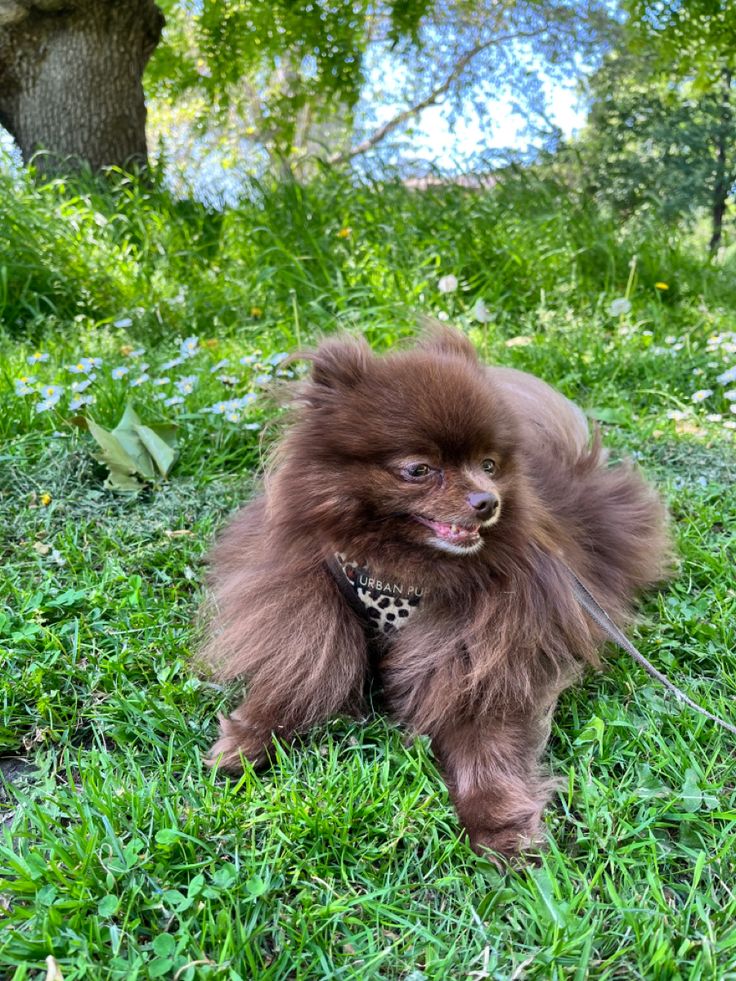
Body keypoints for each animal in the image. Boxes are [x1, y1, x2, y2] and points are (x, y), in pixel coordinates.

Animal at [198, 326, 668, 852]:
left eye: (488, 465)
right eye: (418, 470)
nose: (487, 501)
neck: (403, 571)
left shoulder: (479, 652)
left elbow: (483, 740)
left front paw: (498, 823)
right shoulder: (310, 606)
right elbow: (299, 675)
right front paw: (249, 737)